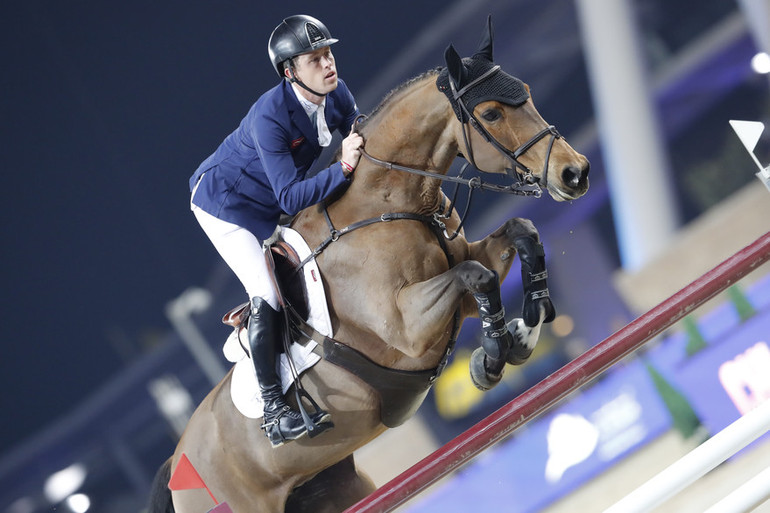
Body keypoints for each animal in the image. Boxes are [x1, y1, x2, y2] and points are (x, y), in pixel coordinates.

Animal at [150, 18, 588, 512]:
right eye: (492, 114)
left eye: (527, 92)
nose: (576, 173)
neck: (392, 201)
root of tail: (177, 464)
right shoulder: (407, 330)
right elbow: (476, 276)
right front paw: (493, 357)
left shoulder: (459, 291)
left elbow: (520, 234)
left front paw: (527, 326)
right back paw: (284, 421)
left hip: (334, 486)